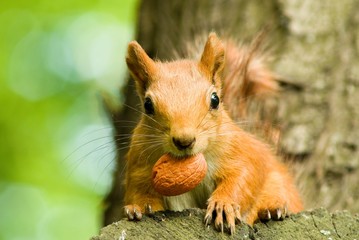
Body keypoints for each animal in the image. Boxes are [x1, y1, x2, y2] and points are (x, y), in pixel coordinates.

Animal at [122, 32, 302, 234]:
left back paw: (271, 209)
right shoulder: (139, 164)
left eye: (215, 100)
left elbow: (242, 176)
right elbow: (138, 190)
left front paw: (223, 205)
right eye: (147, 105)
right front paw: (141, 207)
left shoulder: (240, 151)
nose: (184, 141)